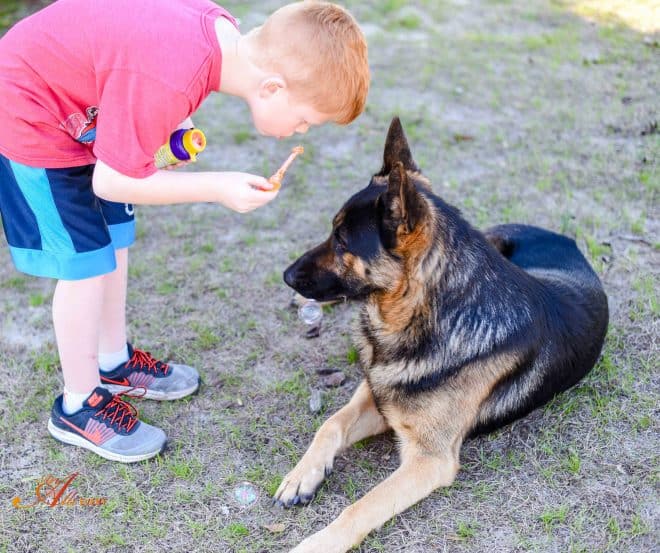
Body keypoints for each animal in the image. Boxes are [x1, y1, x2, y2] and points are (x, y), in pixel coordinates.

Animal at [274, 117, 608, 552]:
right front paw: (301, 476)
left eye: (342, 241)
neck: (424, 316)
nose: (286, 275)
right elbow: (331, 423)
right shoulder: (377, 396)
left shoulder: (428, 459)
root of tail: (566, 237)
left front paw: (317, 542)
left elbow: (359, 508)